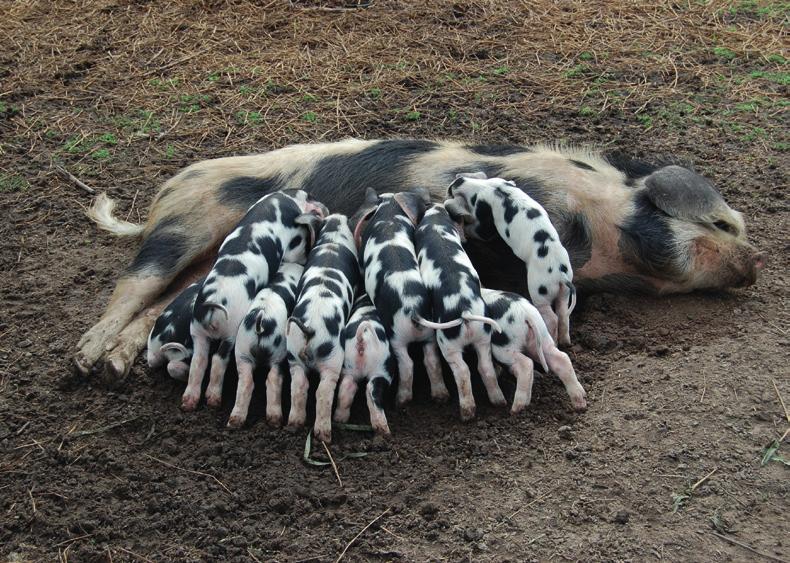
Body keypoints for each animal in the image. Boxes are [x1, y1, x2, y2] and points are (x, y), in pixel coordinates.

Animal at [76, 139, 768, 382]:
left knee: (163, 306)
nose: (754, 262)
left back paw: (113, 364)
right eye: (719, 220)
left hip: (206, 260)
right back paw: (87, 357)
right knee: (132, 284)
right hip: (182, 227)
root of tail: (165, 192)